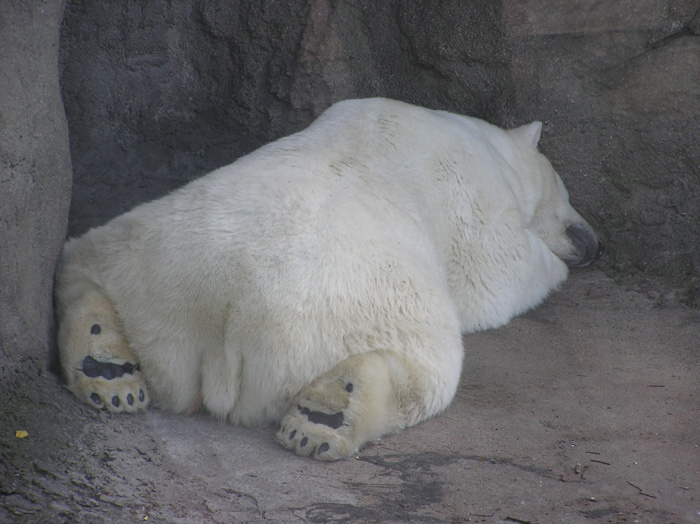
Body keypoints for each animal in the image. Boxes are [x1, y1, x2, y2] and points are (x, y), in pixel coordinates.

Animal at [55, 98, 601, 461]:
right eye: (567, 194)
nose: (593, 242)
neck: (483, 143)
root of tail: (226, 315)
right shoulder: (473, 202)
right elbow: (504, 269)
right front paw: (554, 262)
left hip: (154, 256)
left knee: (85, 259)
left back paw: (104, 362)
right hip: (360, 303)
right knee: (426, 367)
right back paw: (329, 414)